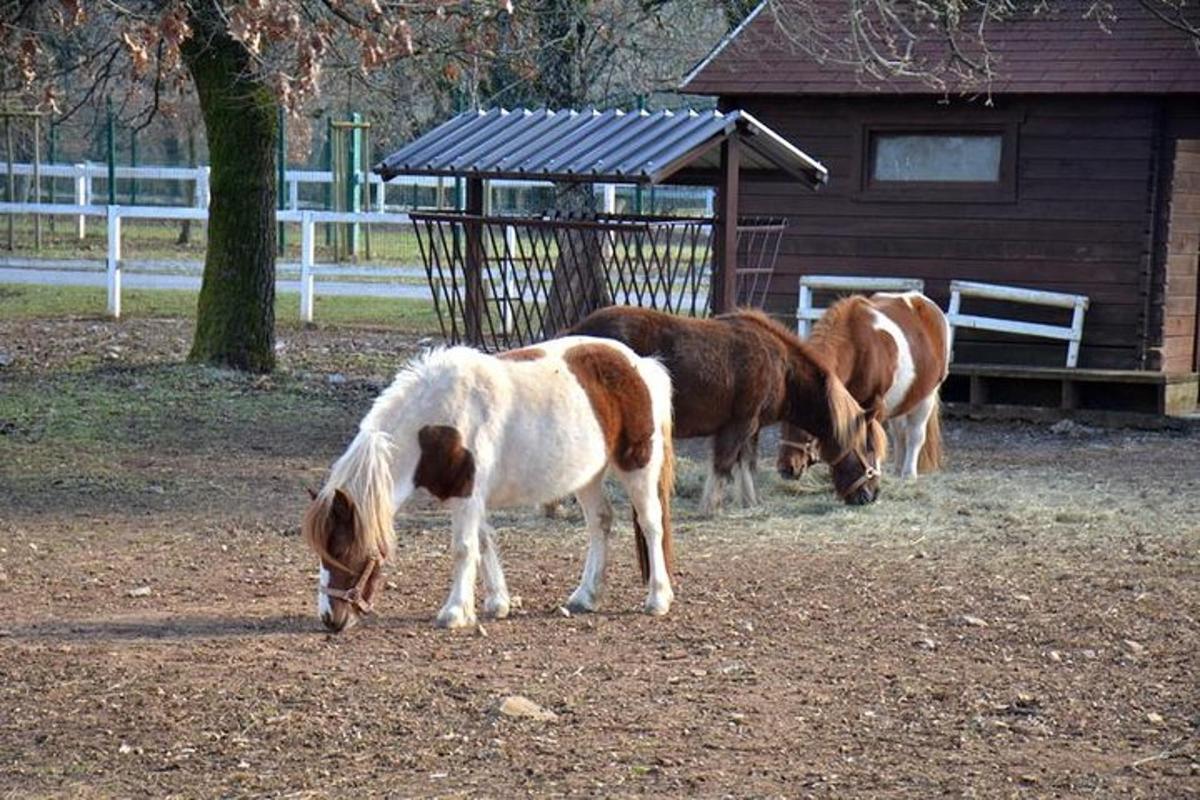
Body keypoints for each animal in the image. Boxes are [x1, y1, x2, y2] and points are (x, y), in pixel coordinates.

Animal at [300, 335, 676, 633]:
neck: (439, 424)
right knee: (600, 523)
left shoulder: (467, 495)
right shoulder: (469, 496)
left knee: (651, 524)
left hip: (638, 466)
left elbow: (464, 548)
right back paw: (586, 595)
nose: (330, 619)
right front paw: (497, 603)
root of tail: (640, 364)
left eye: (342, 550)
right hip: (588, 476)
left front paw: (454, 612)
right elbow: (483, 543)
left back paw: (658, 598)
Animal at [566, 307, 888, 513]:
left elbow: (745, 463)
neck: (781, 368)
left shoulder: (751, 426)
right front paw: (710, 507)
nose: (871, 495)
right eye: (869, 448)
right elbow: (723, 464)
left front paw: (748, 502)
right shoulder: (738, 424)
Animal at [772, 293, 950, 482]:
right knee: (899, 433)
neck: (856, 348)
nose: (786, 469)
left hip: (926, 396)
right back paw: (897, 469)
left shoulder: (873, 407)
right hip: (902, 399)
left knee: (915, 435)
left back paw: (908, 474)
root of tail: (926, 303)